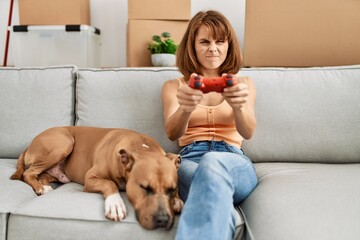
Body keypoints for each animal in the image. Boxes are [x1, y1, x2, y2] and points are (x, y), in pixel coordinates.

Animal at [10, 126, 183, 230]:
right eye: (144, 188)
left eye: (172, 189)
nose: (162, 219)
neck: (142, 147)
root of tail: (31, 143)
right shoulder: (91, 178)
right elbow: (109, 184)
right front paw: (115, 204)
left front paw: (177, 202)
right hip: (63, 143)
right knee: (27, 173)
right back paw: (39, 187)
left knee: (40, 175)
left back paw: (43, 185)